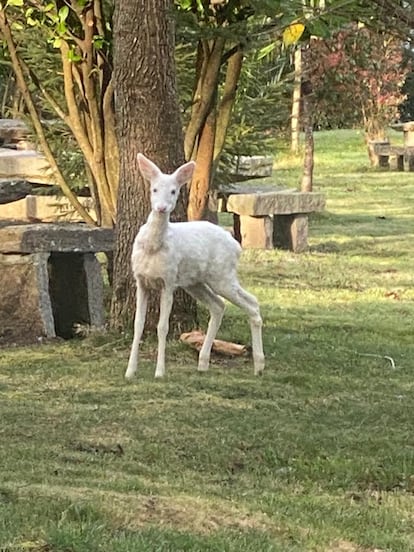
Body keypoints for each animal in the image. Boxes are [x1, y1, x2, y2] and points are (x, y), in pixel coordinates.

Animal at [124, 154, 266, 380]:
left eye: (174, 191)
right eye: (154, 189)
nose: (161, 208)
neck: (153, 247)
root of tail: (236, 245)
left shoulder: (169, 281)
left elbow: (162, 327)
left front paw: (160, 372)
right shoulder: (140, 280)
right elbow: (138, 325)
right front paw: (130, 371)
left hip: (222, 275)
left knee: (251, 303)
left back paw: (259, 366)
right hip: (196, 282)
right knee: (219, 305)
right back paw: (203, 362)